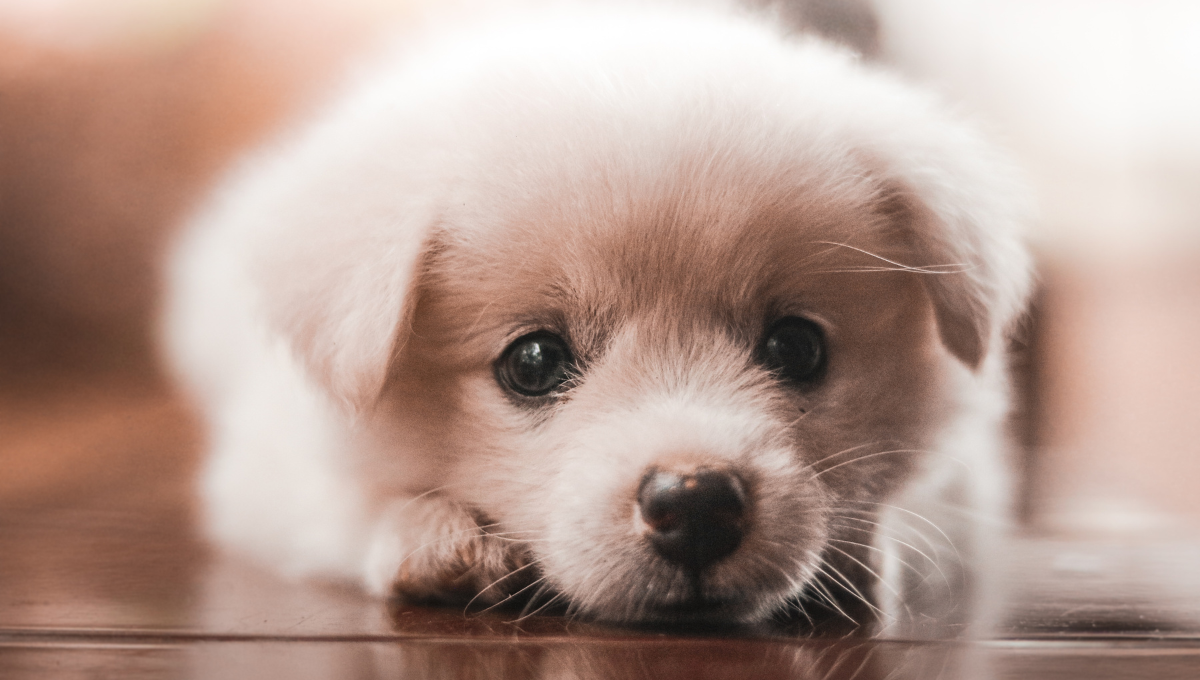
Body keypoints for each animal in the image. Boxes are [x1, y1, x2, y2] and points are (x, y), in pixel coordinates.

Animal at [162, 1, 1032, 638]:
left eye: (797, 347)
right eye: (533, 362)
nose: (696, 503)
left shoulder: (969, 476)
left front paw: (855, 554)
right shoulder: (264, 468)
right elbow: (342, 503)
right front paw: (434, 536)